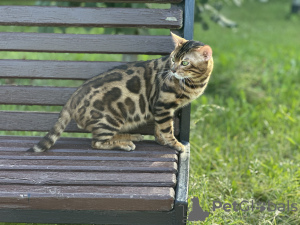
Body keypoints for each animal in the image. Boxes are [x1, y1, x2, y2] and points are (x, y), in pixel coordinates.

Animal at [28, 33, 213, 153]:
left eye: (185, 62)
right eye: (173, 59)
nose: (173, 70)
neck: (195, 82)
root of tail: (72, 99)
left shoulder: (159, 108)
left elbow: (158, 128)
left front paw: (160, 141)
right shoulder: (163, 105)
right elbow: (167, 128)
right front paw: (175, 145)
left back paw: (130, 136)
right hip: (111, 118)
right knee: (97, 142)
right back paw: (124, 144)